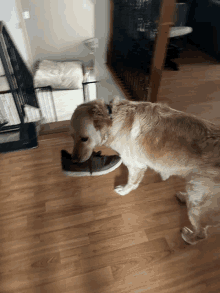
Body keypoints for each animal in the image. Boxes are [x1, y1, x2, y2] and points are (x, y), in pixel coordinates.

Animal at [70, 96, 220, 244]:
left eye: (84, 139)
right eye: (72, 137)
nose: (73, 160)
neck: (112, 117)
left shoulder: (135, 165)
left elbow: (131, 182)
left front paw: (123, 191)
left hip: (197, 200)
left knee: (201, 233)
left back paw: (188, 237)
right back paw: (184, 197)